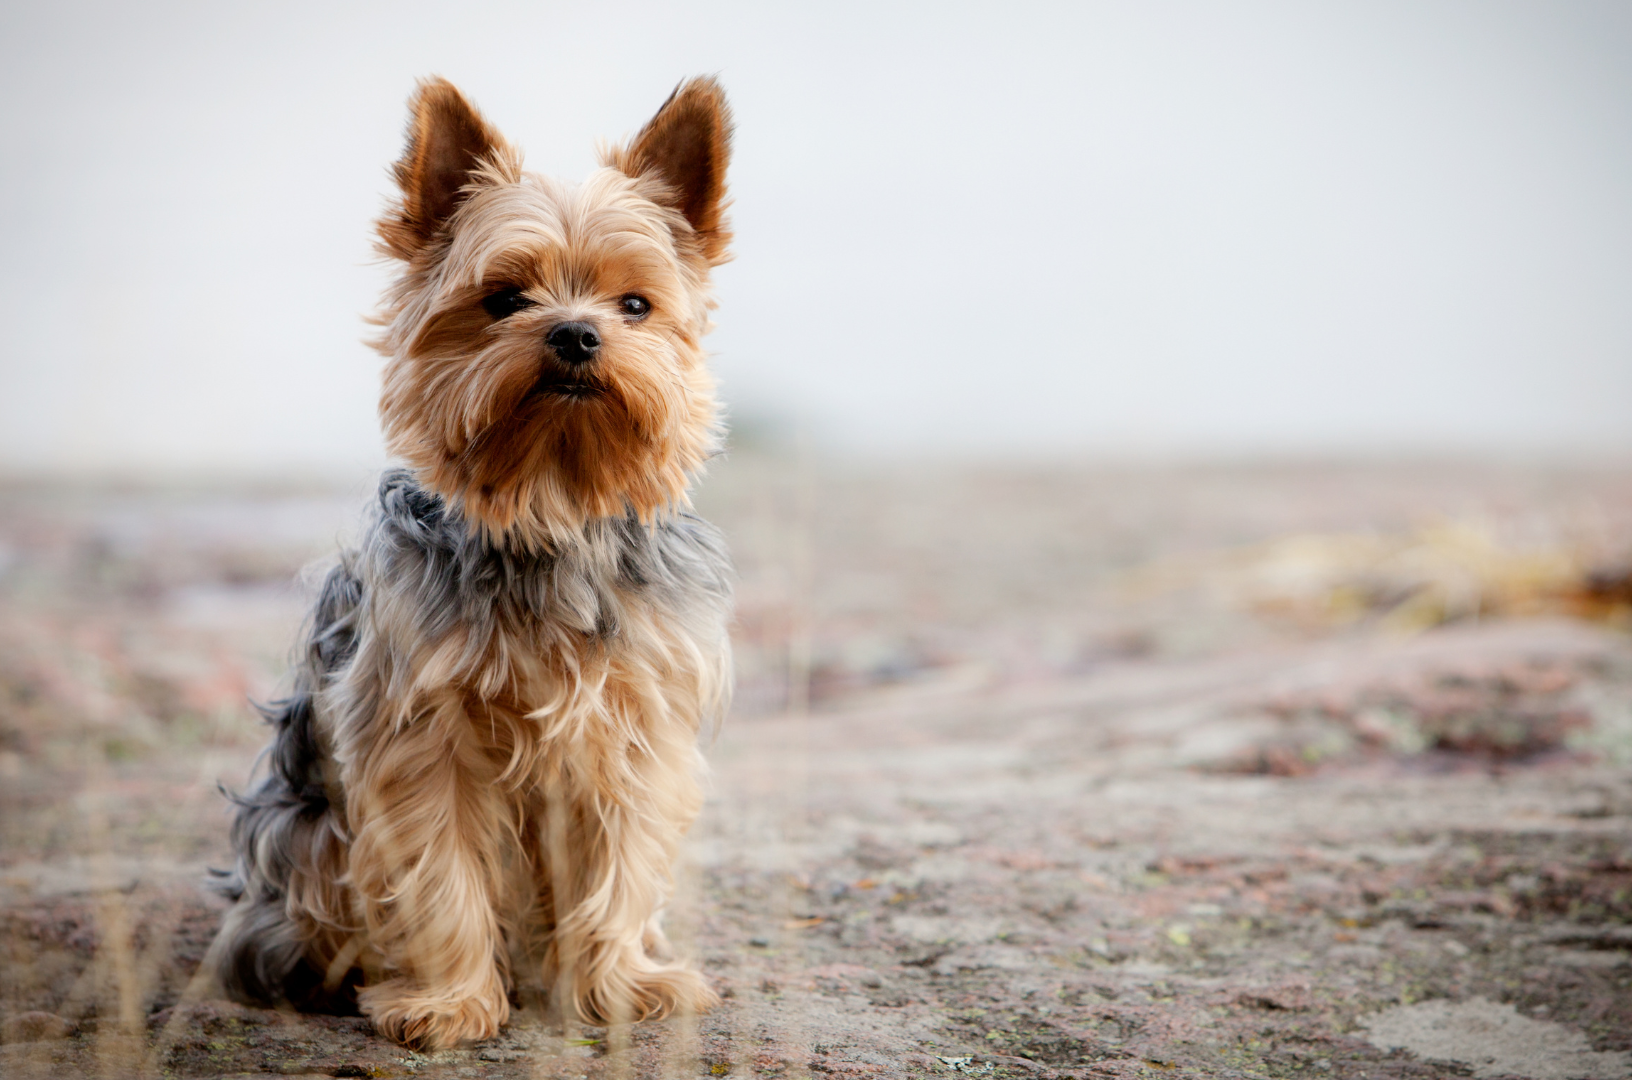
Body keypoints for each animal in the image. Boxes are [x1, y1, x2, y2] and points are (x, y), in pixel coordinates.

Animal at [208, 78, 734, 1057]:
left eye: (635, 306)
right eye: (504, 298)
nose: (575, 335)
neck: (549, 504)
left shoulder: (632, 729)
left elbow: (621, 863)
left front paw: (620, 985)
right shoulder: (420, 736)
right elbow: (439, 870)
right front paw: (449, 1003)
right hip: (305, 837)